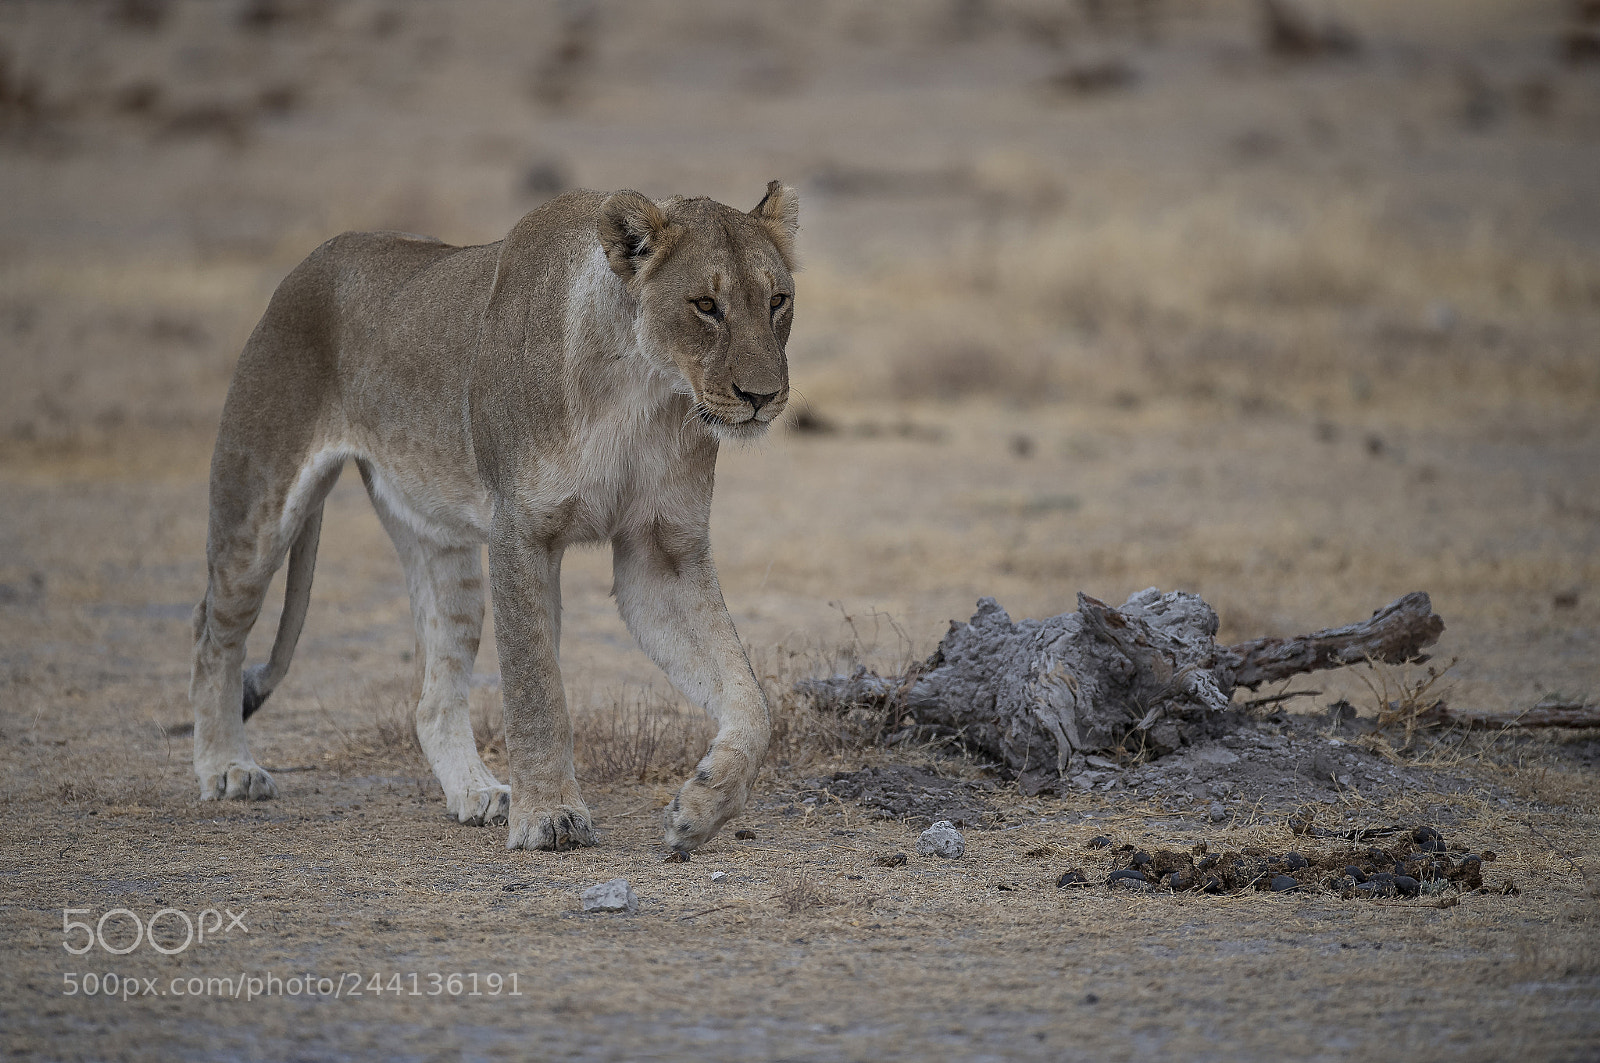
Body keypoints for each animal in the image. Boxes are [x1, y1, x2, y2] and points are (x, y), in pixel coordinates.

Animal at [189, 182, 797, 852]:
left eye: (778, 301)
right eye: (706, 305)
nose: (763, 396)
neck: (642, 391)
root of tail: (307, 264)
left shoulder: (659, 550)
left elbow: (751, 700)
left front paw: (703, 806)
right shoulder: (521, 532)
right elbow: (536, 691)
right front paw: (550, 818)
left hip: (441, 547)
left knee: (432, 701)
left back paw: (476, 792)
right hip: (258, 509)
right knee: (212, 631)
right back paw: (227, 768)